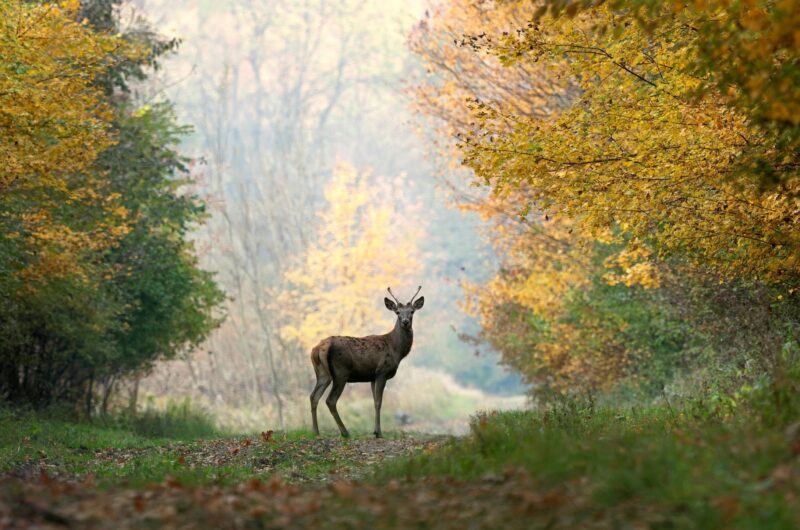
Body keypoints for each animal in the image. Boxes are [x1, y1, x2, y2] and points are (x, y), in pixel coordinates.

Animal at [308, 284, 424, 438]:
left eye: (412, 311)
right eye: (398, 312)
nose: (405, 322)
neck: (396, 350)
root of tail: (320, 347)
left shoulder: (372, 377)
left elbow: (374, 401)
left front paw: (375, 431)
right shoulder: (382, 371)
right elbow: (379, 402)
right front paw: (379, 433)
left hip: (322, 373)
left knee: (314, 396)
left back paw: (316, 432)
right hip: (341, 372)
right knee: (330, 400)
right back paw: (345, 432)